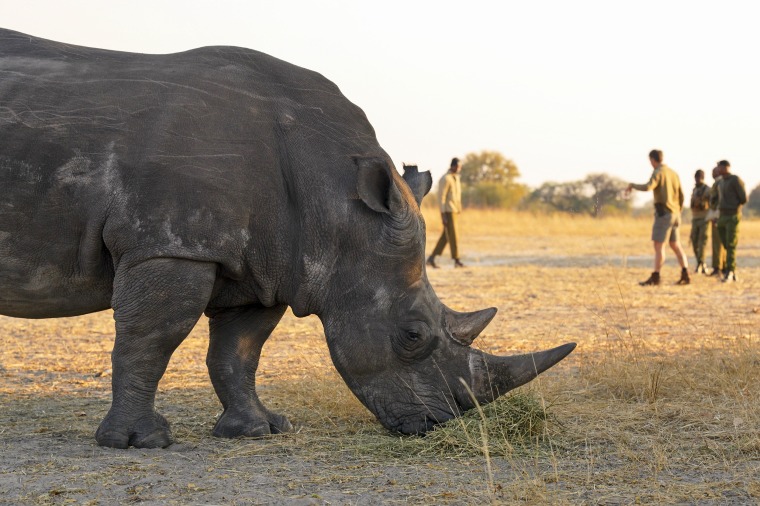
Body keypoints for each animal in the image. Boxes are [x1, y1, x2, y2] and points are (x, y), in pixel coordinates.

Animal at [0, 28, 575, 448]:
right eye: (413, 336)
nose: (437, 425)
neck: (336, 201)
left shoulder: (264, 261)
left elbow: (239, 350)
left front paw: (258, 430)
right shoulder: (170, 243)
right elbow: (151, 338)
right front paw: (139, 443)